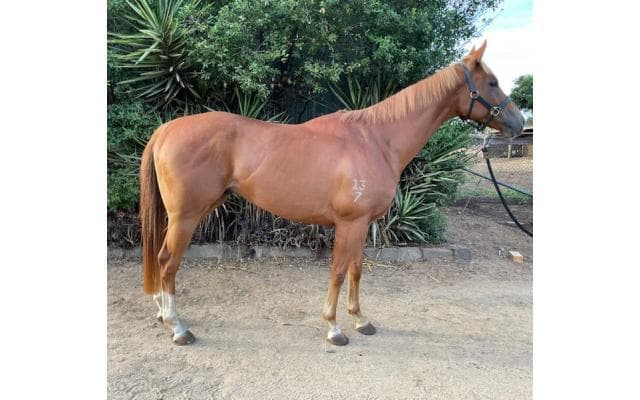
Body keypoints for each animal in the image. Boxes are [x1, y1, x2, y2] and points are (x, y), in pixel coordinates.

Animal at [139, 40, 524, 346]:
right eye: (492, 82)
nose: (519, 123)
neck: (376, 140)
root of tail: (166, 130)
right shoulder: (349, 223)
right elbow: (338, 271)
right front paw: (334, 328)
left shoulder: (363, 225)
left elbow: (356, 269)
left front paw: (361, 320)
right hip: (186, 216)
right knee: (167, 262)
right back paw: (178, 328)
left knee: (160, 258)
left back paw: (162, 314)